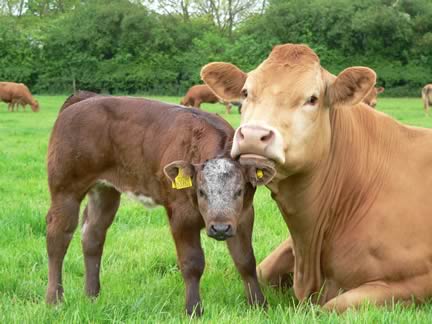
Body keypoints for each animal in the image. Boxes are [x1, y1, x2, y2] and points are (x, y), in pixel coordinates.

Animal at [45, 95, 276, 316]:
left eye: (239, 191)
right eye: (201, 192)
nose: (220, 228)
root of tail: (83, 98)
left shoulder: (244, 215)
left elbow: (246, 260)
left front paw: (259, 305)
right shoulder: (181, 215)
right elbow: (192, 263)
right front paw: (193, 309)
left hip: (105, 190)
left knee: (93, 234)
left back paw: (92, 295)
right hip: (66, 189)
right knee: (58, 237)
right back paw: (54, 300)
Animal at [200, 42, 432, 312]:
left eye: (312, 99)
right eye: (246, 93)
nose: (253, 135)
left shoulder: (416, 281)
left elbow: (333, 306)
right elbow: (260, 272)